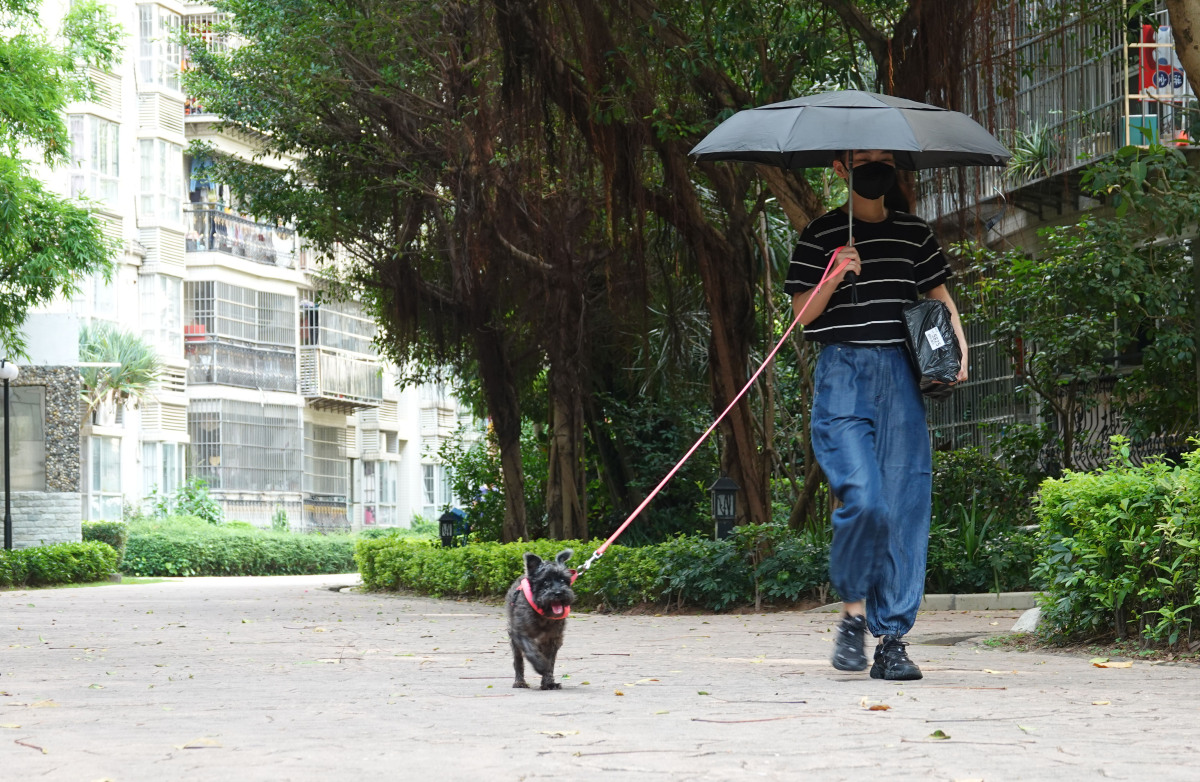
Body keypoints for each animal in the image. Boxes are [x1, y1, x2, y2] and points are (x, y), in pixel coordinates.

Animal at [506, 549, 576, 690]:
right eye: (545, 581)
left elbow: (550, 662)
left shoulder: (553, 640)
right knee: (518, 660)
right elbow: (531, 651)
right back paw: (519, 681)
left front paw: (548, 682)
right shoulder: (520, 633)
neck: (543, 614)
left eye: (563, 580)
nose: (559, 593)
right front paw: (540, 666)